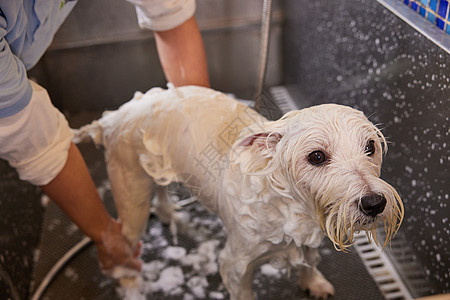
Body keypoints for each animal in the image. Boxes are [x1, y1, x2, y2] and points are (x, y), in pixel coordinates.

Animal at [74, 85, 404, 298]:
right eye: (317, 156)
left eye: (370, 147)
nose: (373, 202)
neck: (288, 203)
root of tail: (113, 116)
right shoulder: (236, 264)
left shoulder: (310, 234)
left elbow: (309, 260)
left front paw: (314, 283)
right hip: (132, 197)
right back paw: (130, 282)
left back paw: (167, 212)